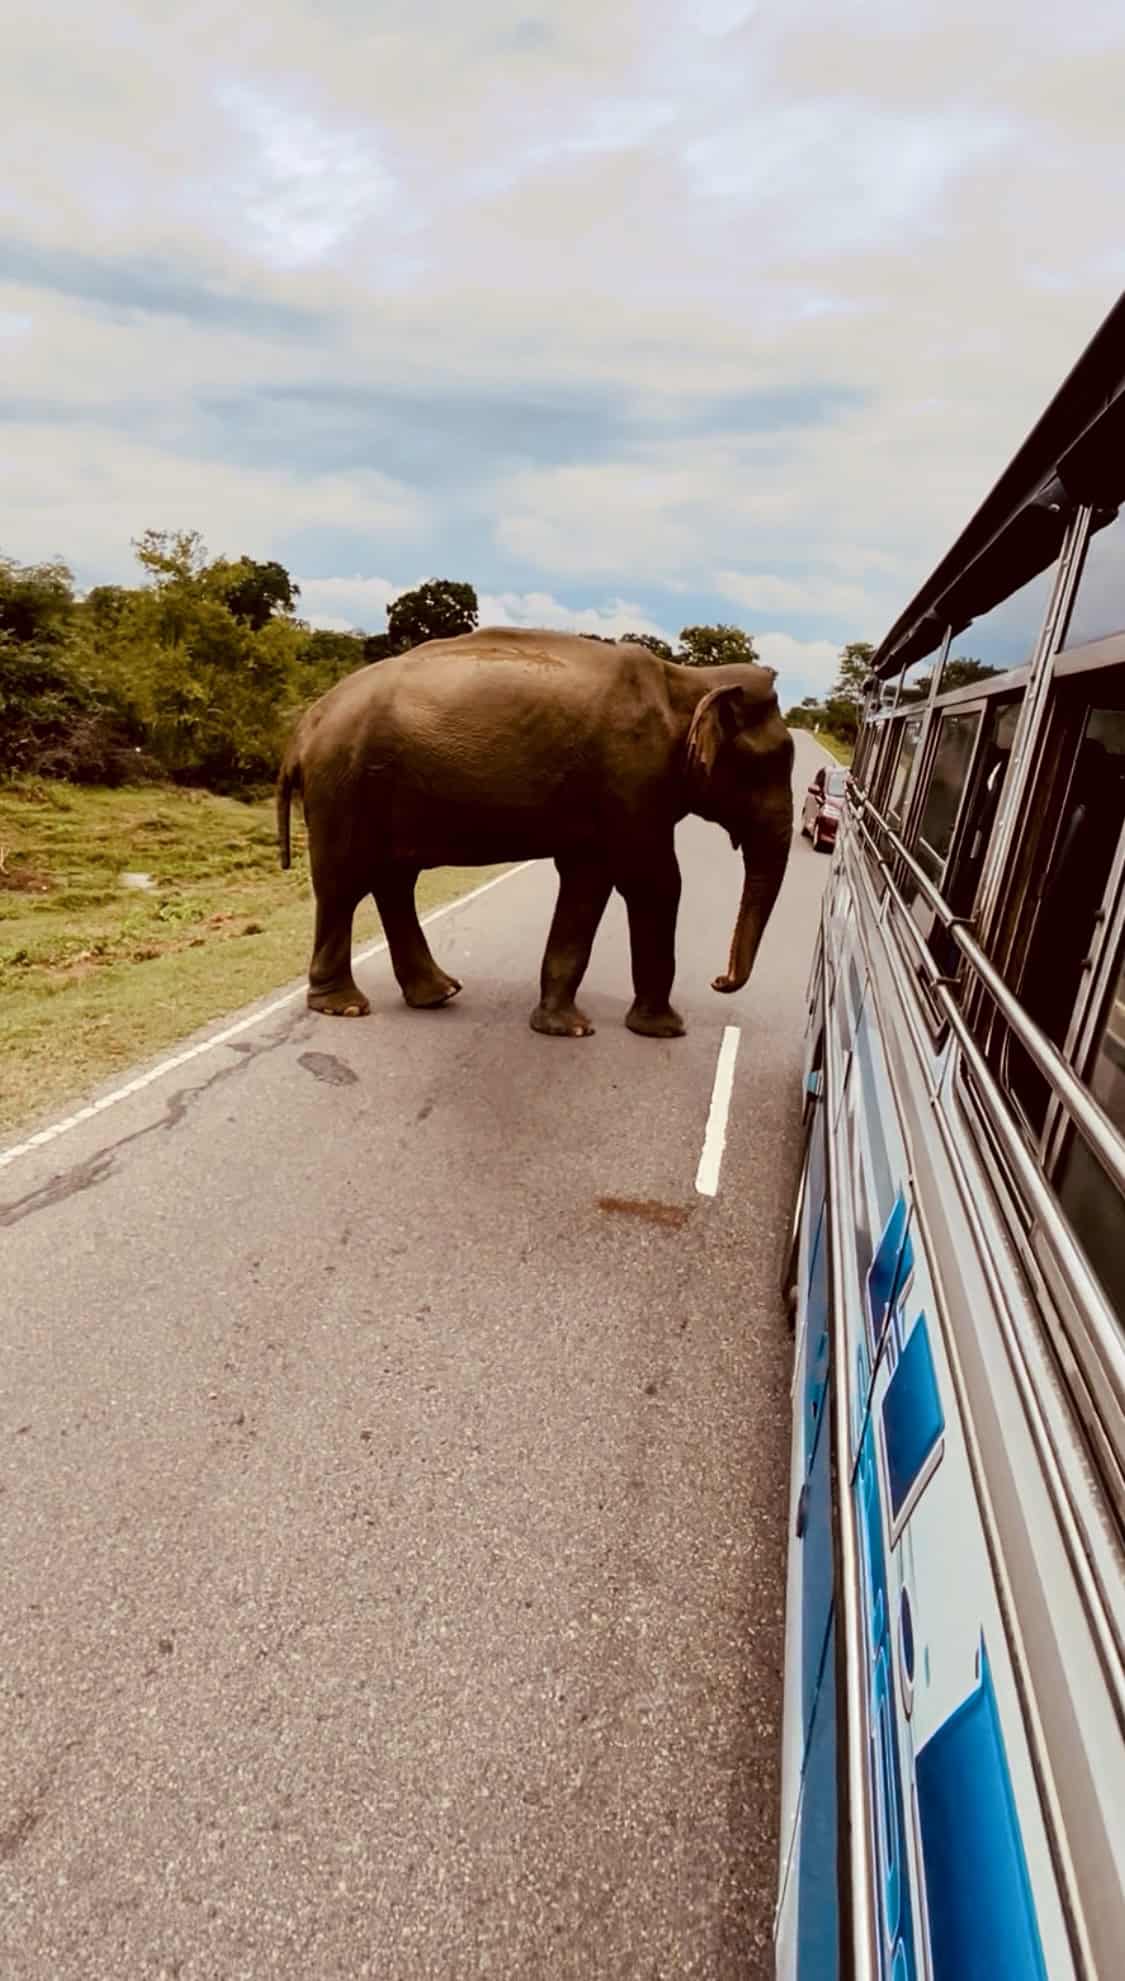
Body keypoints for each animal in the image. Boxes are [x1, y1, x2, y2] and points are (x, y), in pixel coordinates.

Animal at [276, 627, 794, 1038]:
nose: (719, 981)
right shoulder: (632, 775)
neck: (691, 679)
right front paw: (665, 1030)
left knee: (393, 880)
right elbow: (655, 882)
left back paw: (437, 994)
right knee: (344, 882)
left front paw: (566, 1028)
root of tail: (302, 730)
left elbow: (588, 882)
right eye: (770, 766)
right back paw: (345, 1006)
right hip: (343, 785)